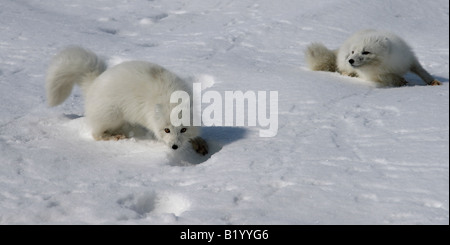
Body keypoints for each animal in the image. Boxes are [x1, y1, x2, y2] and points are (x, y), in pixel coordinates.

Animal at [45, 46, 207, 155]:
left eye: (183, 129)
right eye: (167, 130)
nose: (174, 147)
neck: (169, 95)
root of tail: (94, 82)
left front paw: (199, 142)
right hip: (112, 115)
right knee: (96, 134)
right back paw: (115, 136)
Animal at [304, 29, 442, 87]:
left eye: (366, 52)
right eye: (353, 52)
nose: (350, 60)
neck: (386, 63)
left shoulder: (408, 59)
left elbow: (421, 70)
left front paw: (433, 81)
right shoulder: (374, 75)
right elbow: (388, 77)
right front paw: (400, 81)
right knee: (342, 70)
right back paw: (348, 74)